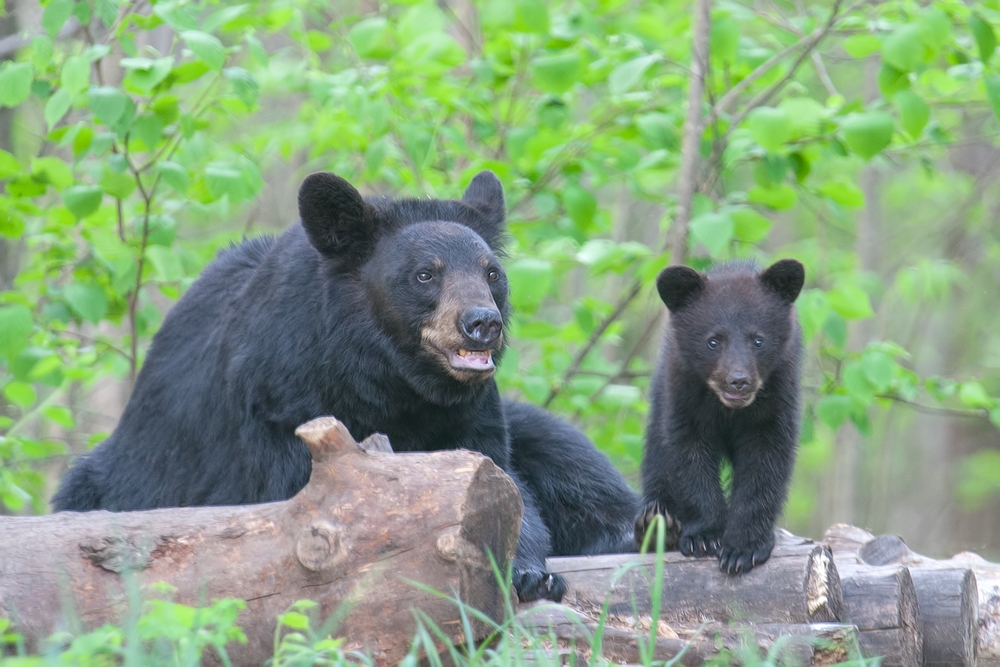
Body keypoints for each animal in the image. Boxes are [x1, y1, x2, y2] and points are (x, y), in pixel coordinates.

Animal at [52, 170, 640, 604]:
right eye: (425, 273)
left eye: (491, 272)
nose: (482, 323)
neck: (388, 381)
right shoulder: (280, 404)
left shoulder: (469, 415)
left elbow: (501, 479)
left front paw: (529, 568)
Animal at [640, 260, 804, 576]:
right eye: (713, 341)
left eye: (758, 340)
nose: (738, 381)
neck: (729, 410)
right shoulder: (683, 394)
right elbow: (689, 458)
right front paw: (704, 536)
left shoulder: (777, 398)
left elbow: (766, 463)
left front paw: (744, 548)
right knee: (657, 460)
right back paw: (654, 524)